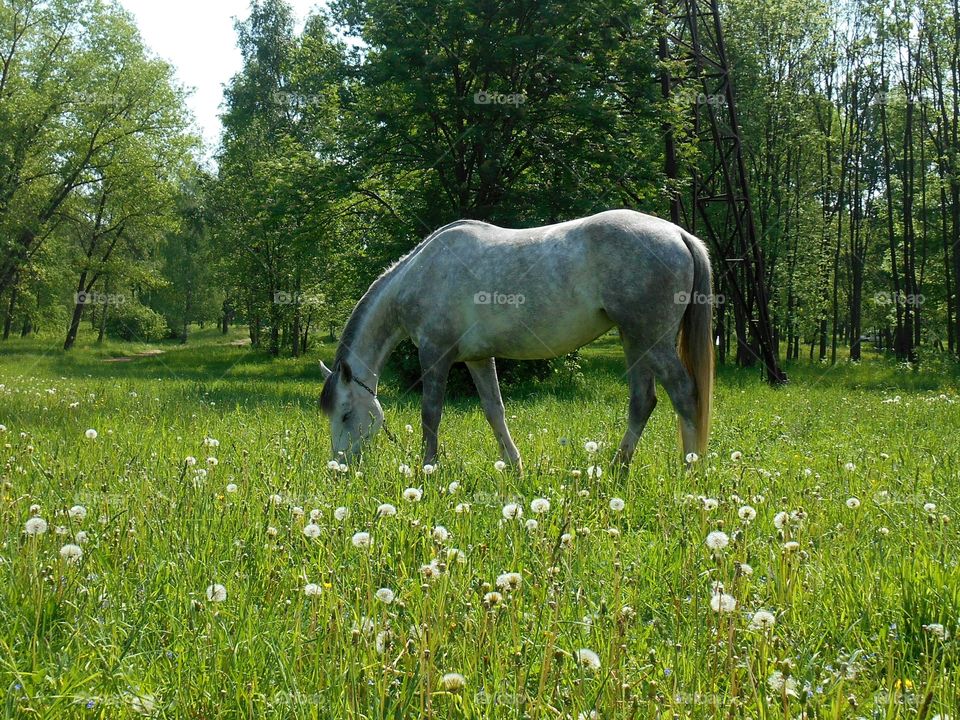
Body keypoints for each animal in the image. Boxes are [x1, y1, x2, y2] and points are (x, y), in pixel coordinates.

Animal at [320, 207, 712, 472]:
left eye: (345, 414)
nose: (339, 469)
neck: (422, 273)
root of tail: (679, 235)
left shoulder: (435, 354)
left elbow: (431, 414)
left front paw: (428, 470)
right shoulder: (477, 358)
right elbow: (494, 410)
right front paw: (515, 466)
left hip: (652, 339)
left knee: (684, 393)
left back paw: (689, 471)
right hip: (636, 340)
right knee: (643, 402)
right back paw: (618, 469)